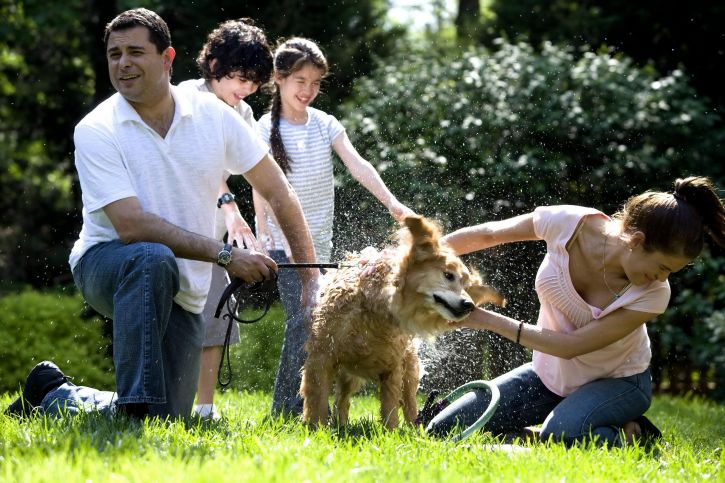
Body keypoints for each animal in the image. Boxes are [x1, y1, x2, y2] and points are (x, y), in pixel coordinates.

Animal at [300, 217, 504, 430]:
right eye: (448, 275)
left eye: (465, 285)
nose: (469, 305)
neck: (376, 311)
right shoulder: (321, 357)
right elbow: (317, 400)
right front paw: (315, 428)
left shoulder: (393, 366)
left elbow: (390, 406)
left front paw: (390, 433)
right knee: (342, 398)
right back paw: (341, 425)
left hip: (409, 366)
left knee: (408, 401)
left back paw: (415, 428)